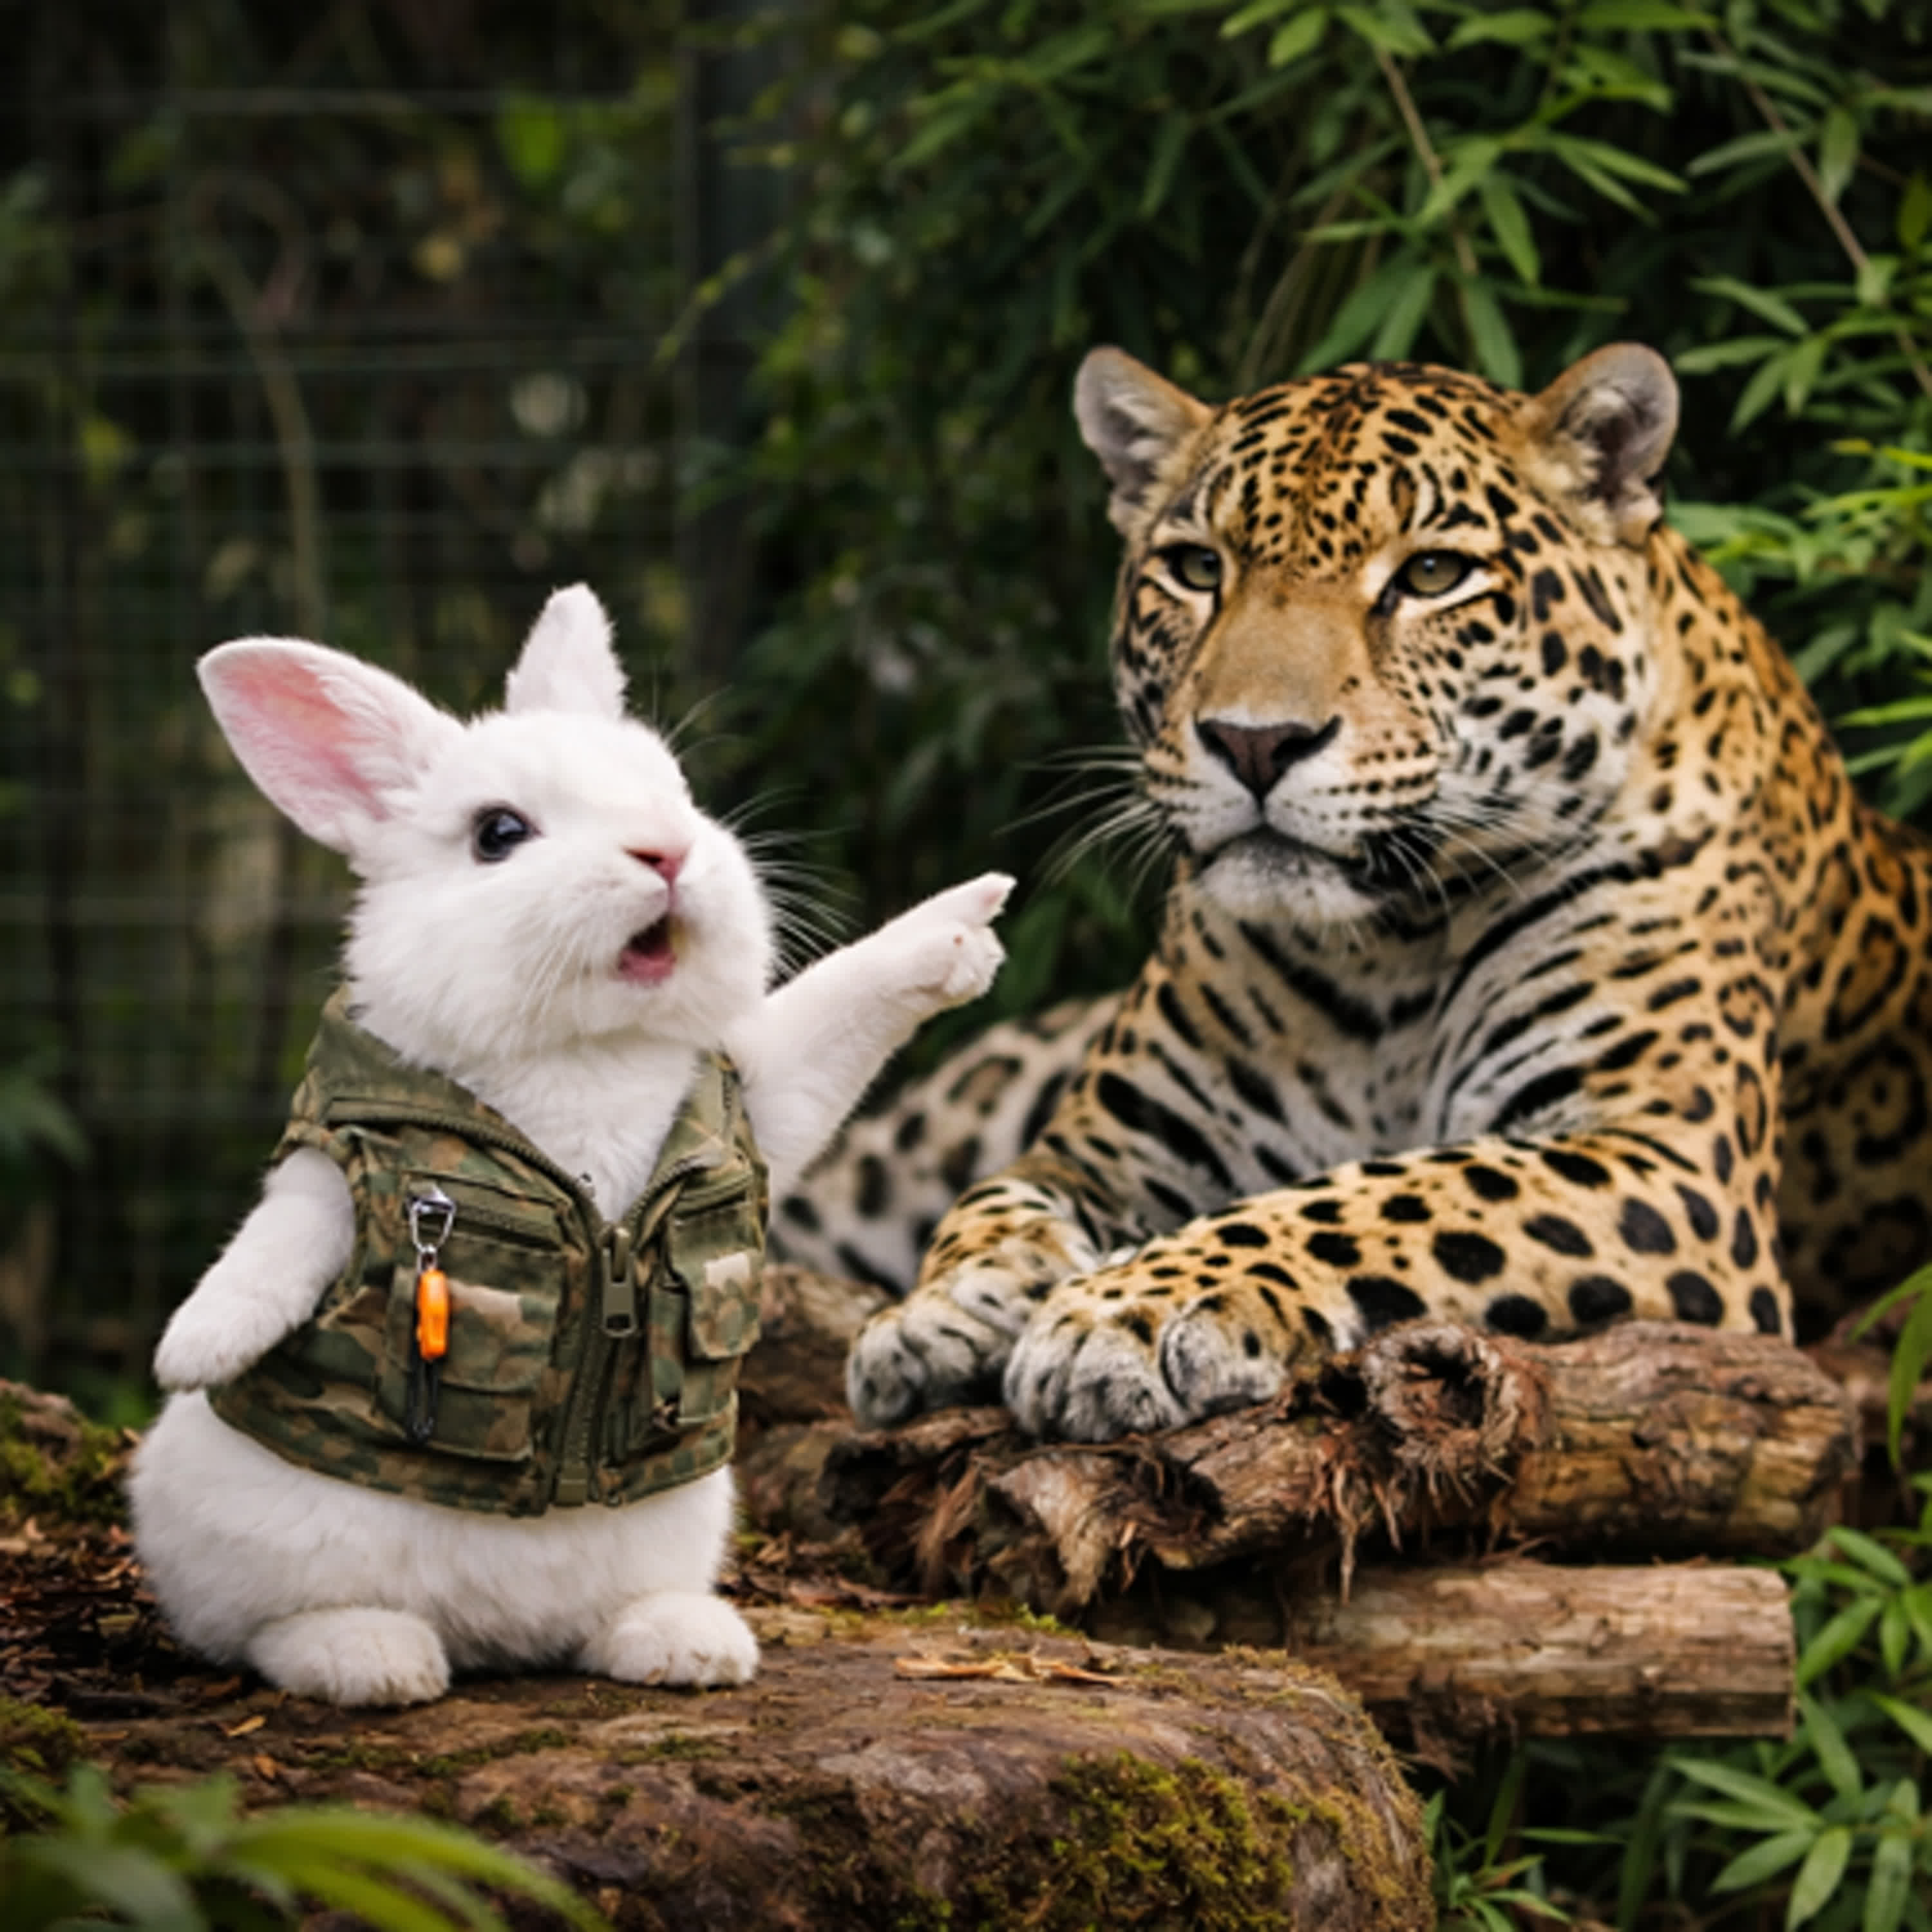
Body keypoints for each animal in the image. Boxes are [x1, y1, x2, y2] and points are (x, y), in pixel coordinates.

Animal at [809, 340, 1932, 1445]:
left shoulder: (1668, 1162)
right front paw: (937, 1315)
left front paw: (1133, 1309)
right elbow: (996, 1200)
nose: (1255, 742)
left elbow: (1388, 1193)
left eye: (1433, 574)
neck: (1387, 947)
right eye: (1198, 568)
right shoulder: (1109, 1143)